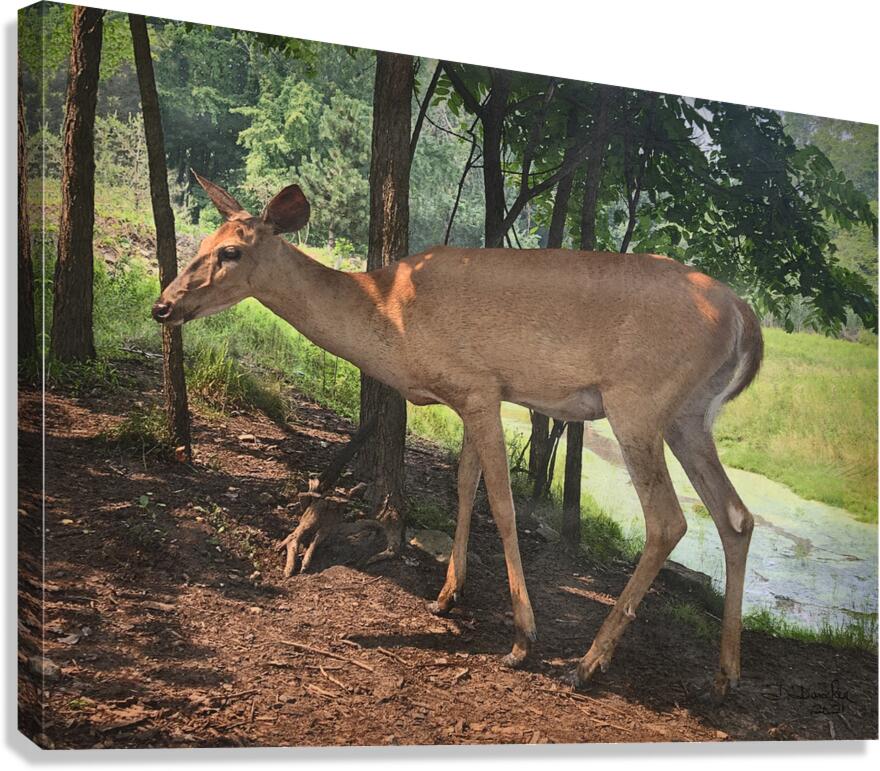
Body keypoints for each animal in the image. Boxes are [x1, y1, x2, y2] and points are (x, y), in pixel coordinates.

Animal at [153, 172, 763, 698]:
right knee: (735, 516)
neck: (390, 317)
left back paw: (589, 663)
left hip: (638, 402)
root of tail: (746, 317)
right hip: (690, 416)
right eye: (204, 240)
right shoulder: (467, 398)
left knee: (669, 520)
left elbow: (504, 504)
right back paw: (725, 675)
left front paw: (522, 639)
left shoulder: (481, 385)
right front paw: (446, 597)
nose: (163, 305)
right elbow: (466, 486)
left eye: (231, 252)